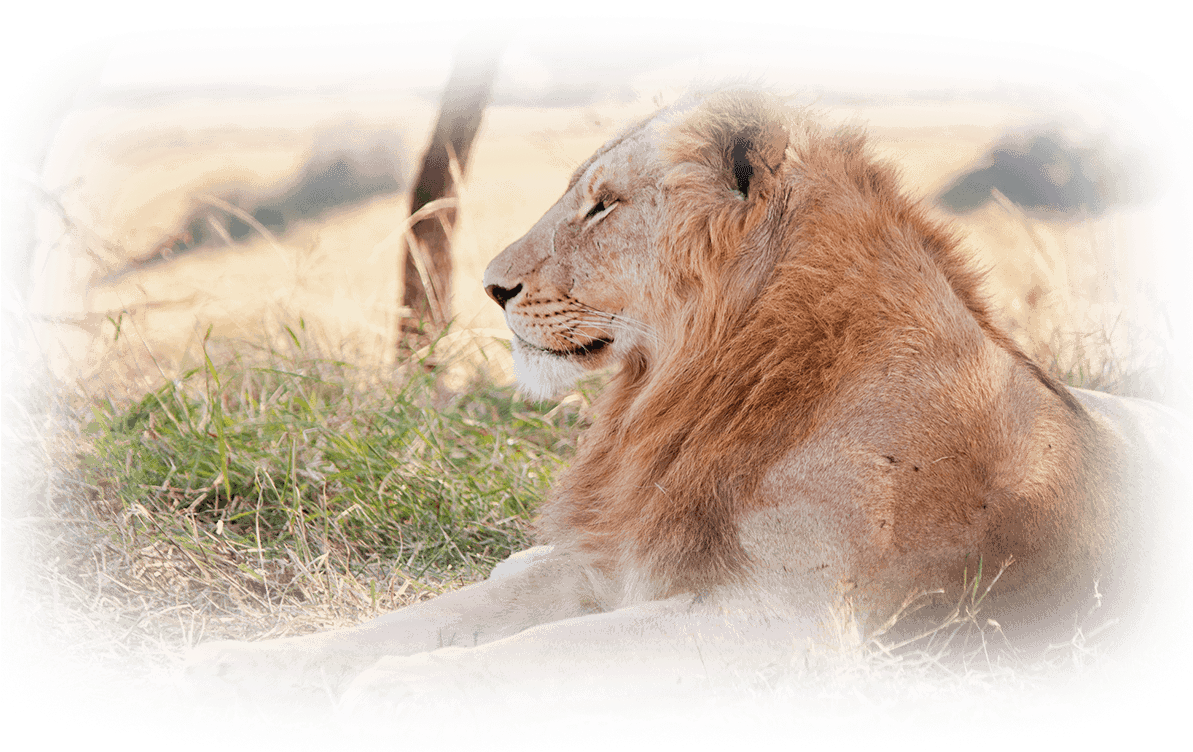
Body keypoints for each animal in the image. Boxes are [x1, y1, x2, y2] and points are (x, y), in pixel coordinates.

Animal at [175, 81, 1192, 733]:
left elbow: (556, 651)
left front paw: (407, 689)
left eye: (602, 207)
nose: (492, 287)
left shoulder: (790, 623)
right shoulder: (609, 561)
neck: (684, 386)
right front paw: (240, 663)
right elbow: (416, 619)